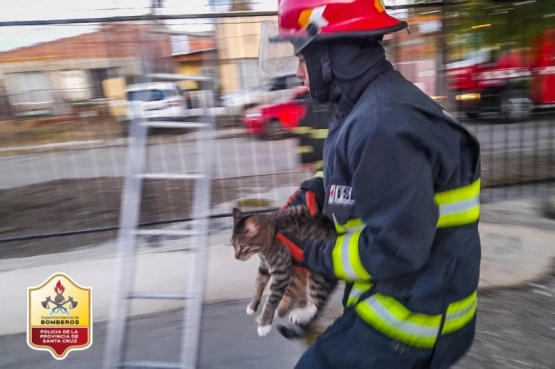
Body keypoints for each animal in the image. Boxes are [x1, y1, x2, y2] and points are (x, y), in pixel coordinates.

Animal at [231, 206, 338, 338]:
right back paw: (276, 313)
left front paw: (264, 325)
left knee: (315, 304)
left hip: (317, 275)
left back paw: (299, 314)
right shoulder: (264, 267)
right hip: (296, 274)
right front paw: (252, 306)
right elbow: (257, 286)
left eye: (243, 247)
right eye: (233, 245)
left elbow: (271, 301)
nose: (236, 256)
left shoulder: (281, 272)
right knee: (291, 298)